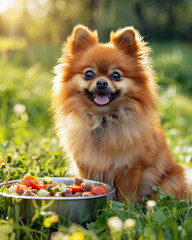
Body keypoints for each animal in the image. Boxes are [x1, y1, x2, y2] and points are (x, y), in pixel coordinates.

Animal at [51, 24, 190, 202]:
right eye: (88, 74)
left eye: (116, 75)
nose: (101, 83)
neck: (103, 119)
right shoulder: (87, 164)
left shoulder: (130, 168)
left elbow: (126, 195)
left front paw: (125, 208)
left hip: (169, 183)